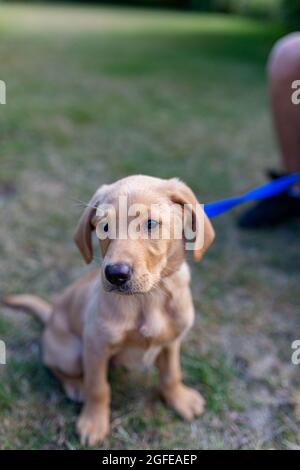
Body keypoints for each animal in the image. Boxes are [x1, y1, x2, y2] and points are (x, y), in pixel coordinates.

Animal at [5, 175, 216, 444]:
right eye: (104, 227)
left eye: (150, 223)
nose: (115, 274)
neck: (148, 298)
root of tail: (51, 315)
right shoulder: (96, 346)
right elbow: (98, 388)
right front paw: (93, 423)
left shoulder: (172, 341)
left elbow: (171, 373)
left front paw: (180, 399)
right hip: (71, 352)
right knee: (53, 365)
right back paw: (76, 386)